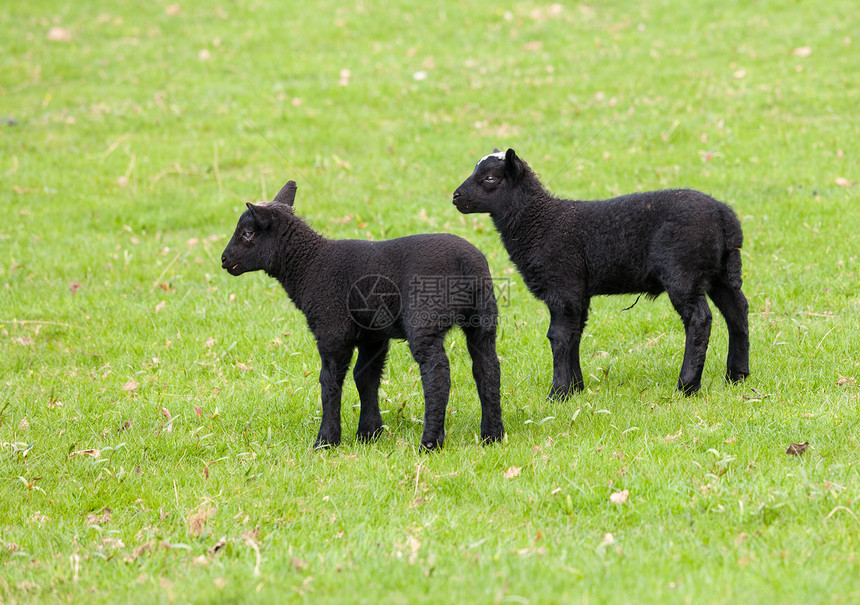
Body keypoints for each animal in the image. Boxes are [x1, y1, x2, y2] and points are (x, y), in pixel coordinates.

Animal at [220, 179, 504, 448]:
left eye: (247, 233)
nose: (223, 260)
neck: (308, 265)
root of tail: (466, 263)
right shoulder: (373, 335)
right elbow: (365, 377)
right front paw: (369, 433)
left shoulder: (332, 330)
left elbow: (330, 381)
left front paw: (326, 440)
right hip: (483, 320)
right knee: (488, 368)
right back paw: (492, 435)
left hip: (425, 320)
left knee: (437, 375)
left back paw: (429, 443)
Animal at [454, 149, 748, 396]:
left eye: (490, 178)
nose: (455, 196)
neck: (539, 223)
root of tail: (725, 215)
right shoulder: (577, 291)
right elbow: (574, 333)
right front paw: (576, 388)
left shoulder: (562, 284)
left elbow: (558, 336)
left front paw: (558, 393)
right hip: (718, 274)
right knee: (737, 311)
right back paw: (737, 376)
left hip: (683, 272)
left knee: (700, 320)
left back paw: (687, 385)